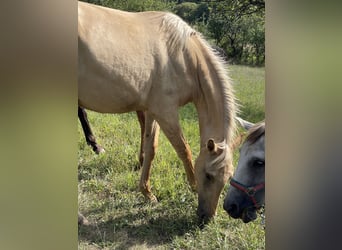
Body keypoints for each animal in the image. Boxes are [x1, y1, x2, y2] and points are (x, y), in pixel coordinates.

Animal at [78, 1, 236, 221]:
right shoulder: (166, 112)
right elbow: (184, 149)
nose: (206, 217)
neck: (183, 55)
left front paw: (147, 192)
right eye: (208, 175)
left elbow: (151, 148)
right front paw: (193, 186)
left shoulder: (152, 111)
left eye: (228, 178)